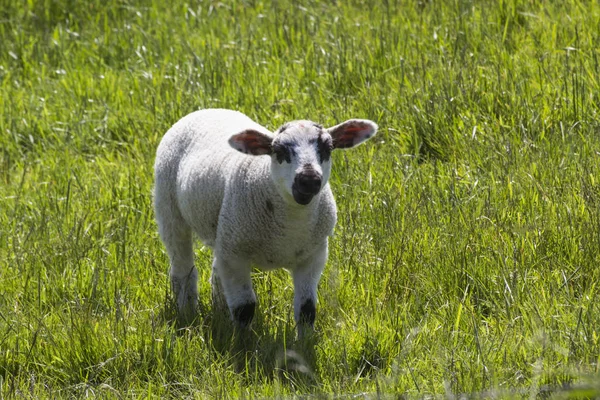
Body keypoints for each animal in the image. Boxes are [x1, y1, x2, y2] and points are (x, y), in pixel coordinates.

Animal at [156, 108, 380, 334]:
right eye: (279, 151)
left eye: (328, 148)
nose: (309, 180)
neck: (290, 226)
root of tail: (208, 109)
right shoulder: (236, 256)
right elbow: (244, 308)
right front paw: (242, 341)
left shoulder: (313, 257)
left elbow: (307, 310)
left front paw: (304, 341)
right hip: (169, 209)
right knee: (183, 271)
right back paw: (187, 313)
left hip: (224, 235)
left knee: (217, 271)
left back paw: (219, 310)